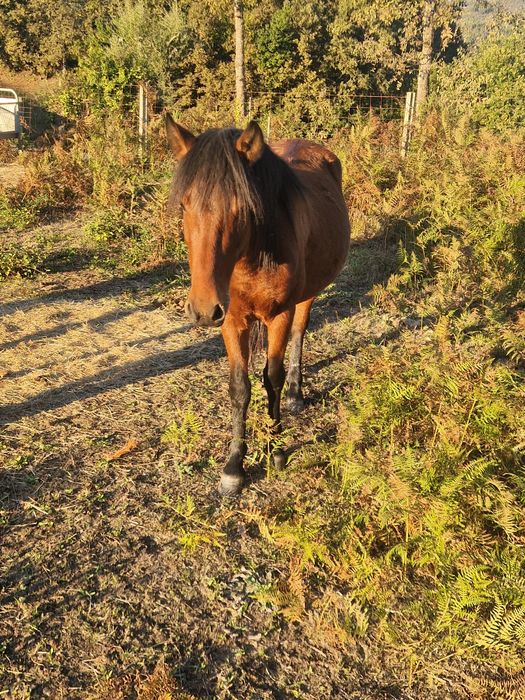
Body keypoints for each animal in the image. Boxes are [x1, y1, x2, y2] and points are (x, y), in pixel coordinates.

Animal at [166, 115, 350, 496]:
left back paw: (295, 393)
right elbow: (240, 387)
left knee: (300, 332)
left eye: (240, 208)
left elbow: (271, 378)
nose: (202, 309)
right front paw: (234, 466)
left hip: (306, 295)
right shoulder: (231, 319)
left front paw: (276, 449)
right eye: (185, 205)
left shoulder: (278, 314)